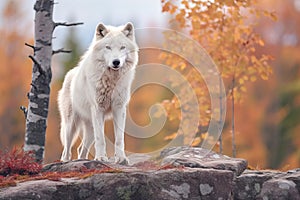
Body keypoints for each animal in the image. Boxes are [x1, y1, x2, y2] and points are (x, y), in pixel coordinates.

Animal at [57, 22, 138, 164]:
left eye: (122, 47)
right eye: (108, 47)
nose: (116, 62)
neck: (111, 81)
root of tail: (70, 73)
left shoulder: (119, 108)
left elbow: (119, 138)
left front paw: (121, 158)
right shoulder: (98, 109)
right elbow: (101, 139)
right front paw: (100, 158)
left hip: (90, 128)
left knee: (80, 149)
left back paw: (83, 161)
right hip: (71, 125)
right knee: (66, 150)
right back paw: (66, 162)